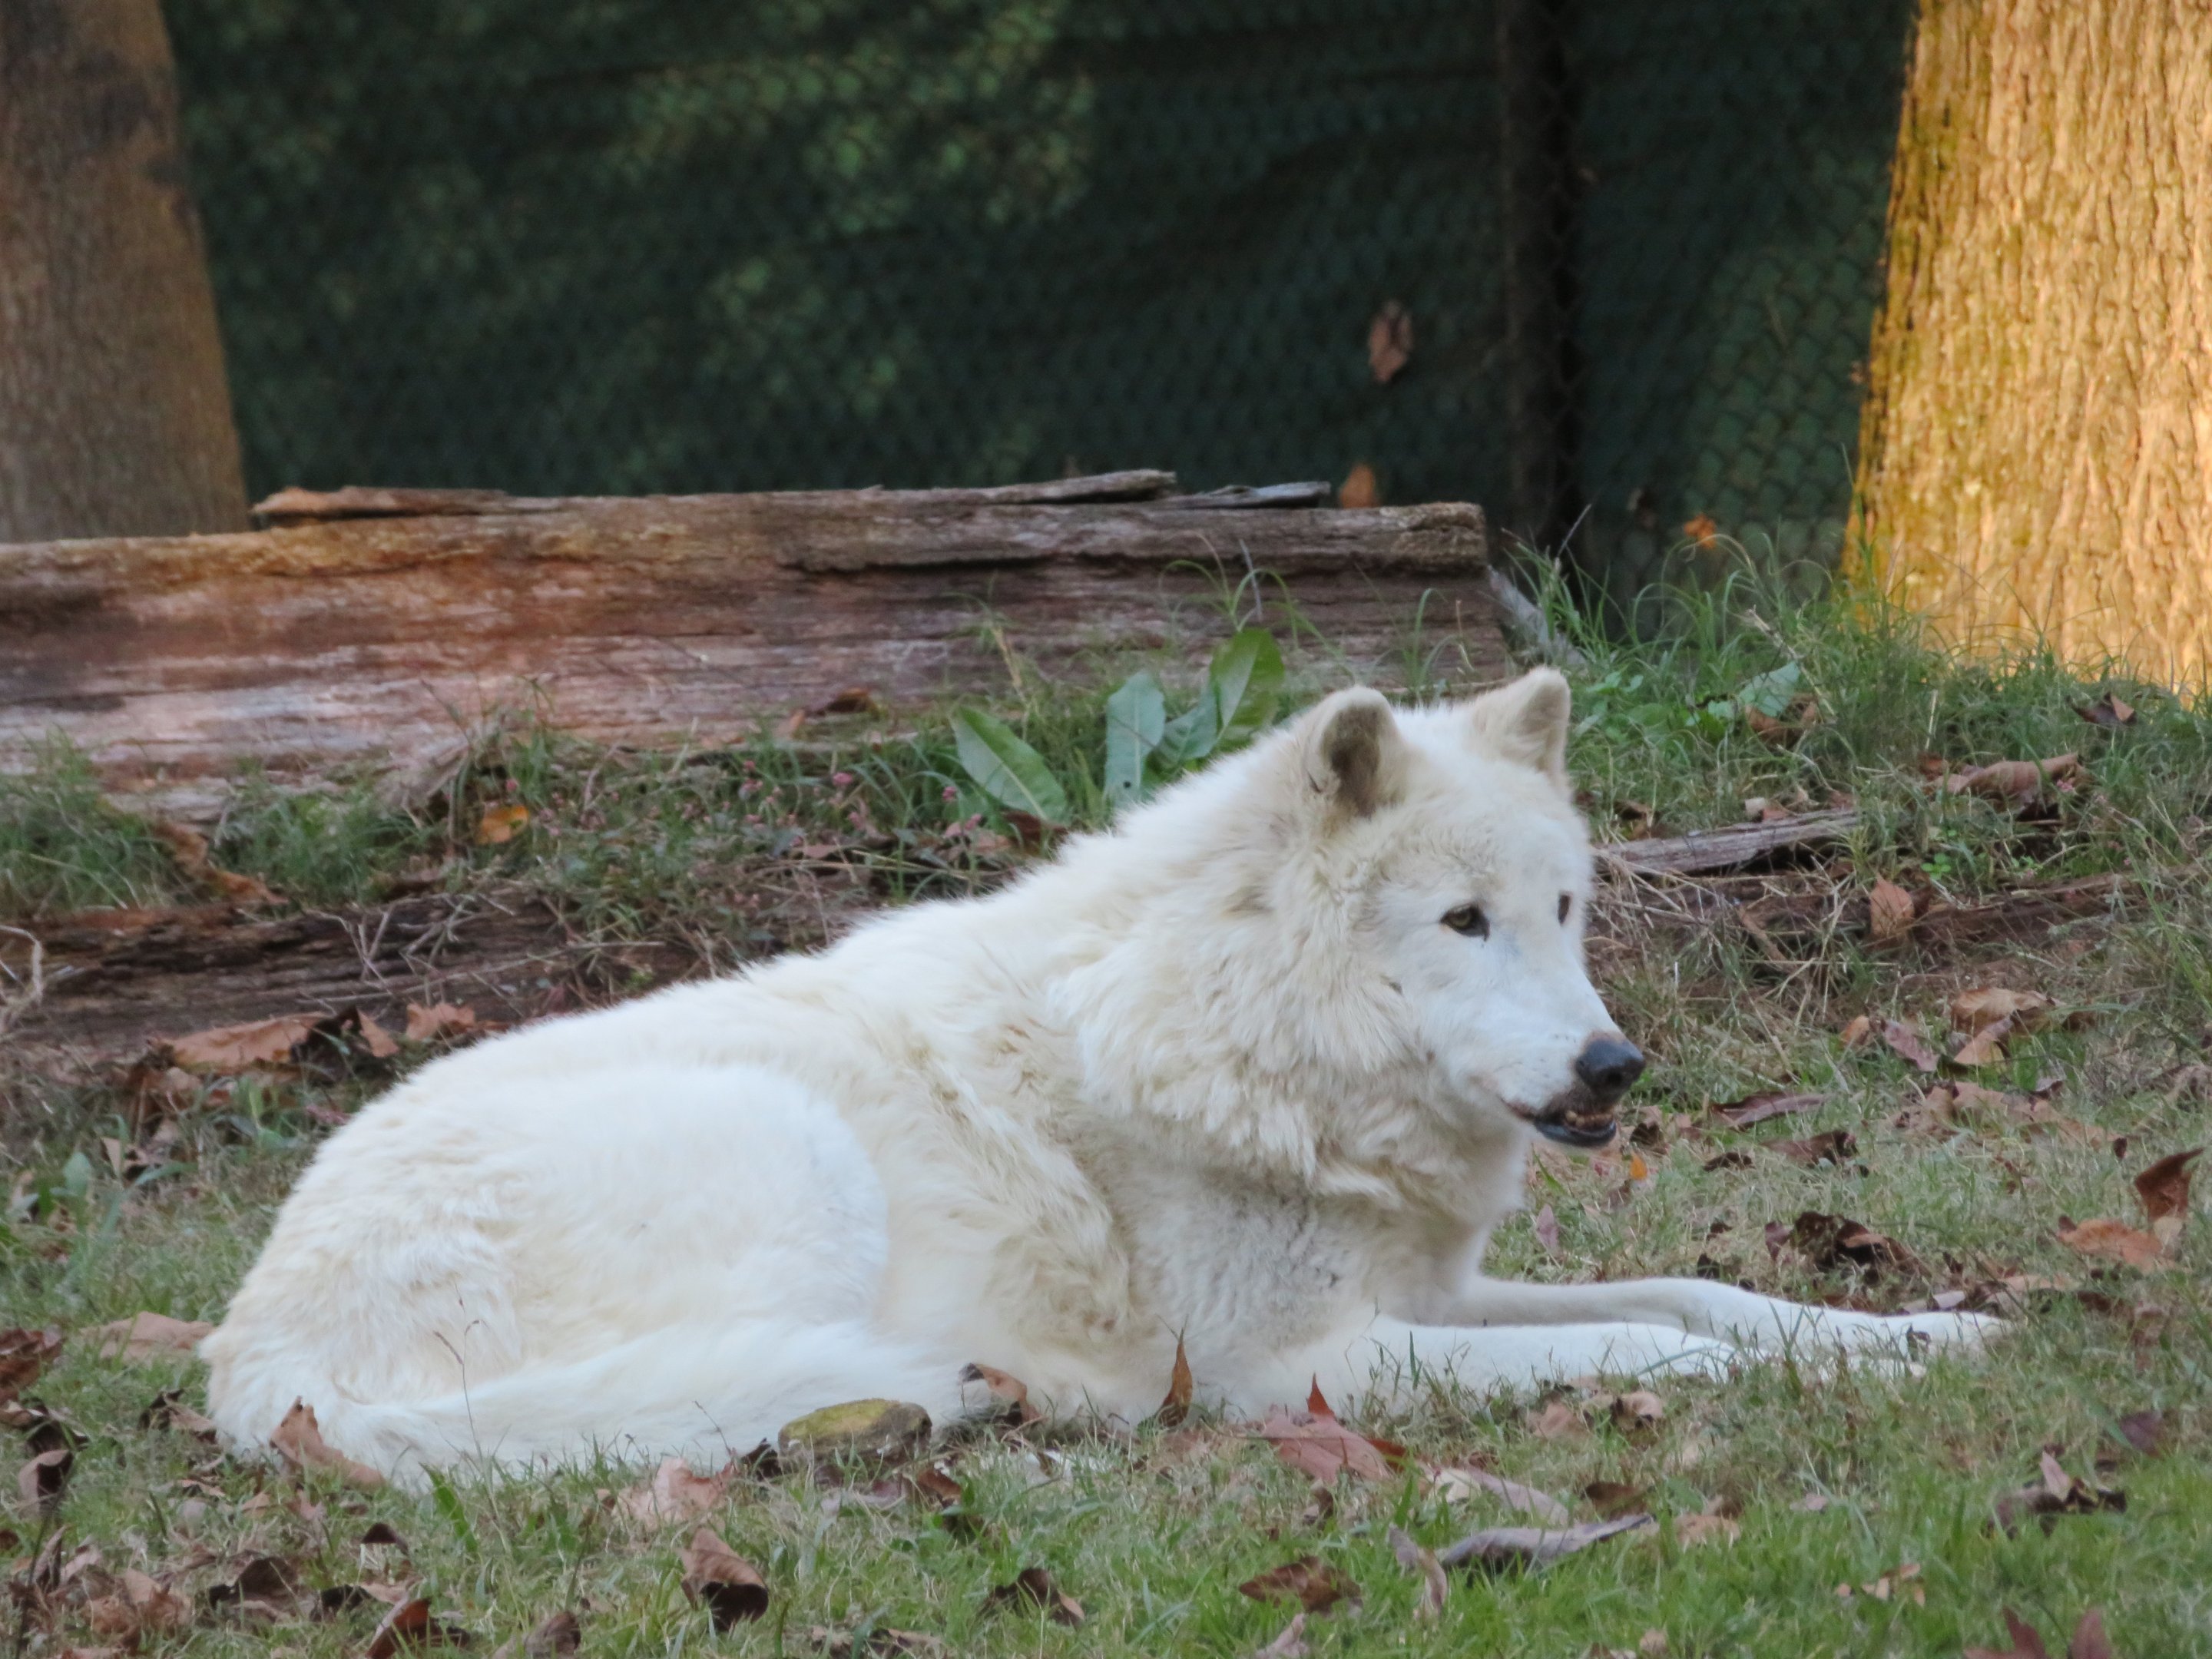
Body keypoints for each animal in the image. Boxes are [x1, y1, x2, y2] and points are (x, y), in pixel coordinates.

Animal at [202, 670, 1990, 1481]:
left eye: (1561, 912)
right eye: (1461, 923)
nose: (1614, 1066)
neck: (1252, 1040)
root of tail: (261, 1358)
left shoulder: (1430, 1292)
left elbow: (1710, 1294)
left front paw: (1920, 1334)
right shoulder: (1295, 1366)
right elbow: (1648, 1343)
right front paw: (1812, 1380)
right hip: (792, 1157)